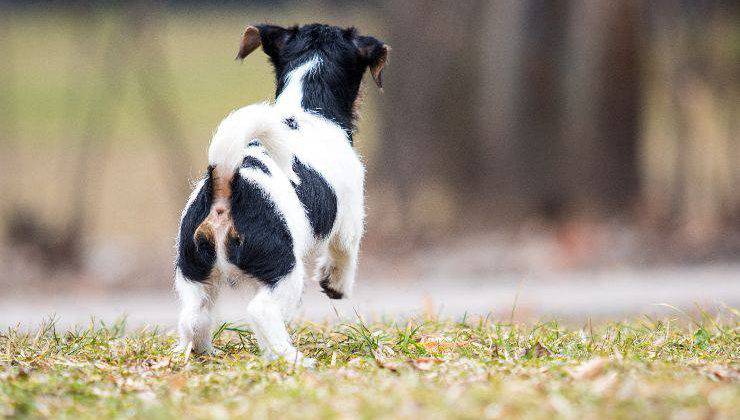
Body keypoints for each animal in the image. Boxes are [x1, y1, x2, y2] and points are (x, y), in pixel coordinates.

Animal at [174, 23, 388, 366]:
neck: (306, 108)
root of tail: (226, 181)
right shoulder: (350, 222)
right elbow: (344, 257)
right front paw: (336, 286)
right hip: (285, 273)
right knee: (261, 313)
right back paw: (292, 357)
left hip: (194, 275)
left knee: (193, 317)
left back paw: (202, 351)